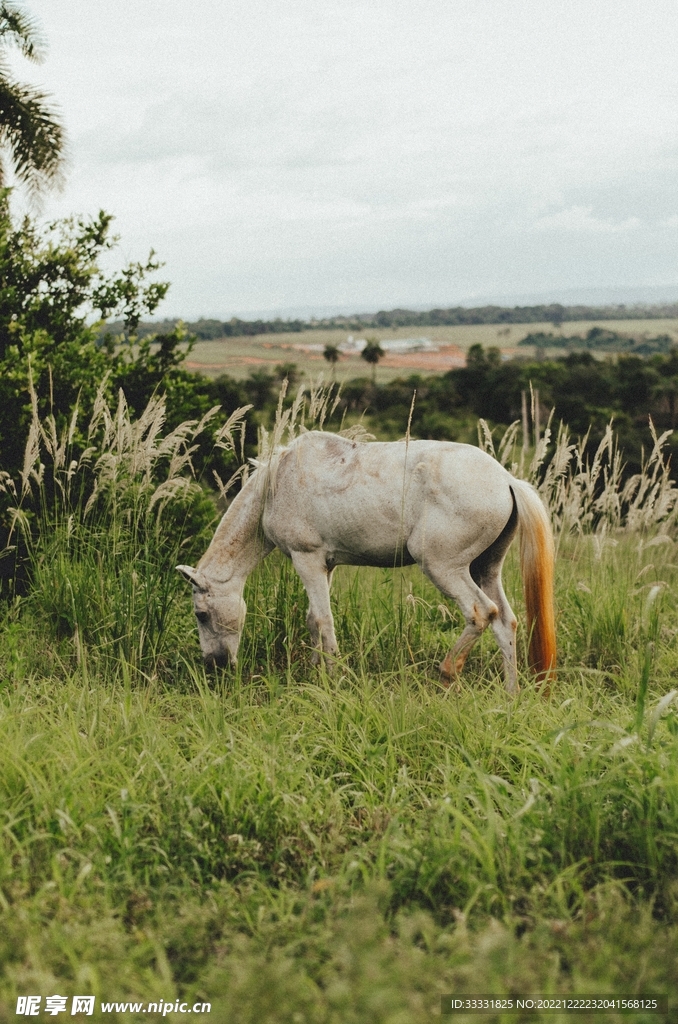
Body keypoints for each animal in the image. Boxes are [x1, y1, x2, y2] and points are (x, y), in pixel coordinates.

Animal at [177, 430, 556, 693]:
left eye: (201, 614)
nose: (214, 666)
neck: (278, 483)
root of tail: (506, 479)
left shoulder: (306, 559)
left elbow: (323, 620)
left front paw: (332, 677)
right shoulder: (325, 566)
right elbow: (313, 619)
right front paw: (316, 671)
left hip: (443, 567)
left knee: (481, 613)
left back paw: (448, 672)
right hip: (484, 569)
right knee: (505, 622)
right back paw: (510, 693)